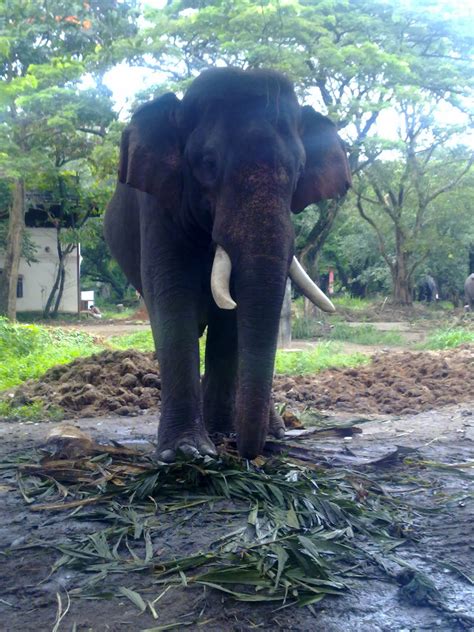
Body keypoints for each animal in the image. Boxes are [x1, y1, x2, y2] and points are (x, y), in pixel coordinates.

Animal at [106, 68, 352, 460]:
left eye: (299, 169)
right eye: (208, 163)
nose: (249, 453)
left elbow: (231, 320)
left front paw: (222, 433)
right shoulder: (158, 206)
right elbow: (173, 301)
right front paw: (187, 452)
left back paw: (274, 430)